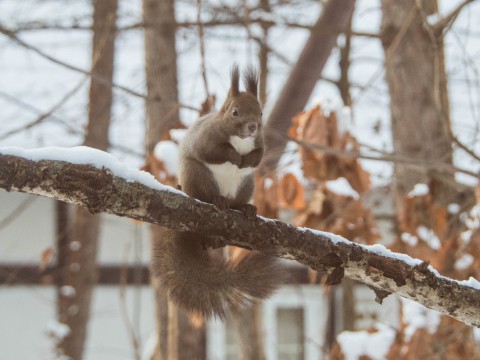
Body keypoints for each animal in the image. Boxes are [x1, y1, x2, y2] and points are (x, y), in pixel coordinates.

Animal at [151, 64, 284, 318]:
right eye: (235, 112)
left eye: (261, 113)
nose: (252, 127)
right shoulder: (206, 140)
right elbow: (213, 152)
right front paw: (234, 156)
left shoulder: (259, 144)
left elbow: (257, 157)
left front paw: (246, 160)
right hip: (198, 176)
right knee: (207, 194)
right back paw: (218, 201)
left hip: (247, 184)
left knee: (238, 201)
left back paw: (245, 208)